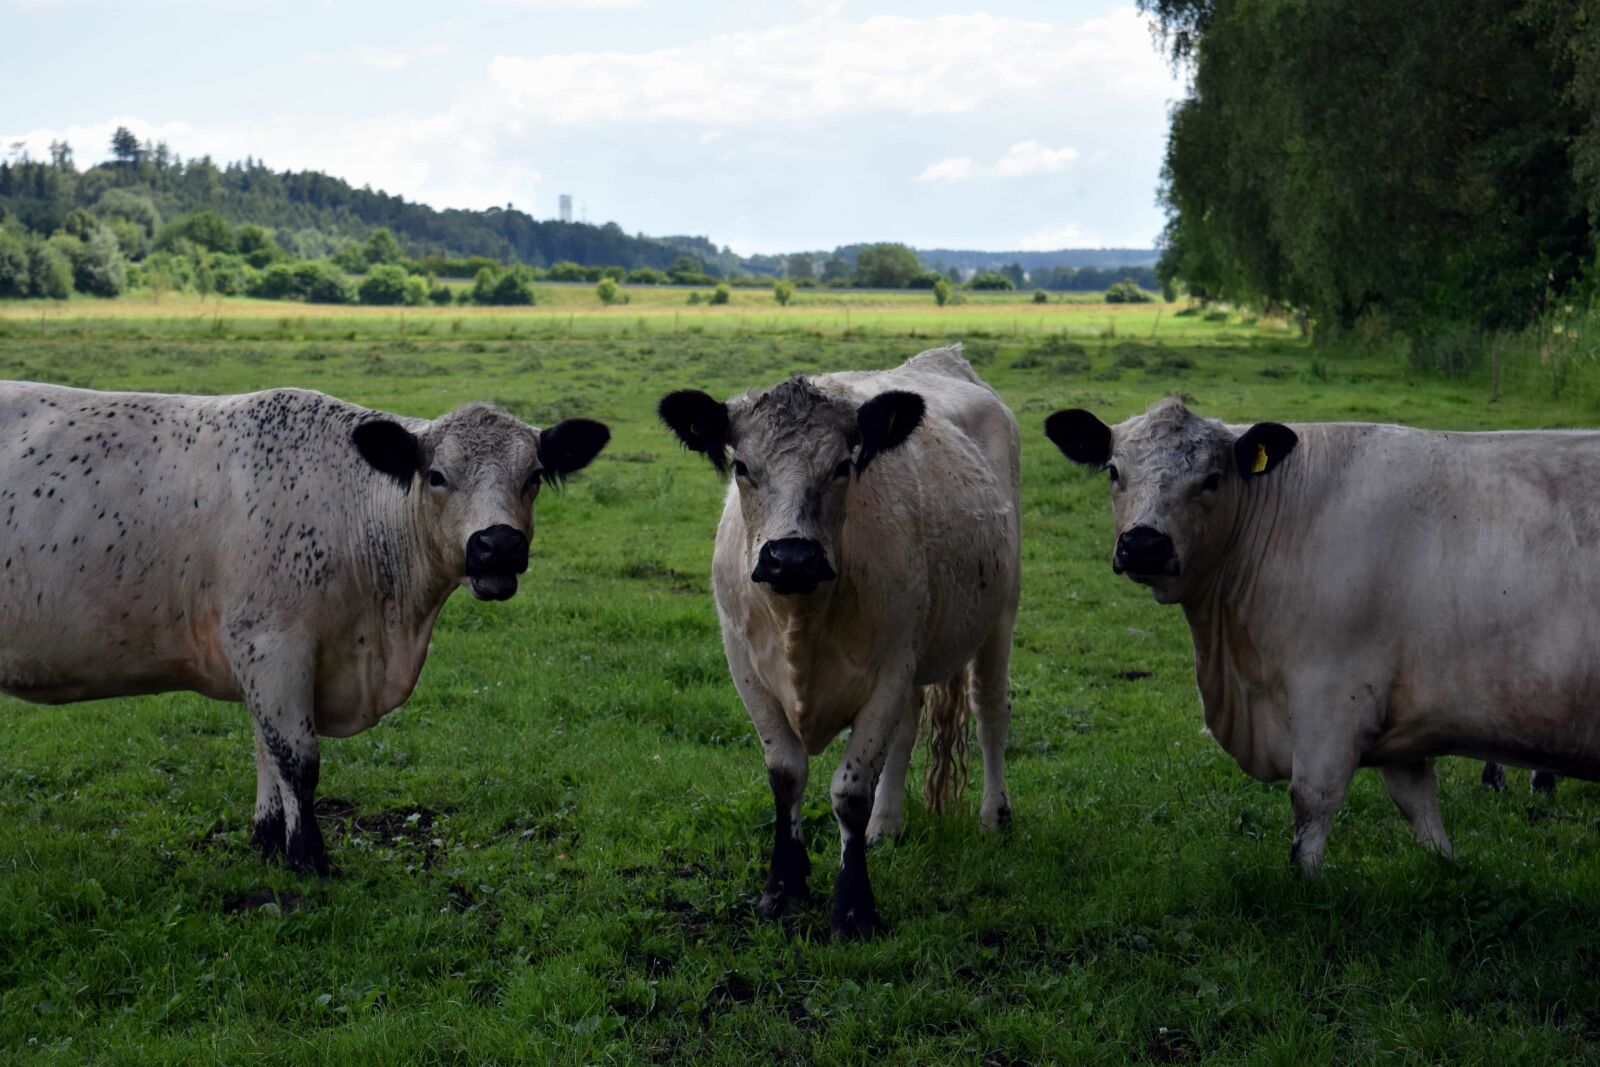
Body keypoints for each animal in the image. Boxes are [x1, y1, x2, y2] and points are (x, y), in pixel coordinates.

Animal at [0, 382, 609, 876]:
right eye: (437, 476)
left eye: (533, 477)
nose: (498, 545)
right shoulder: (273, 646)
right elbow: (297, 759)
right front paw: (309, 859)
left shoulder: (266, 661)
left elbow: (265, 751)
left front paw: (269, 842)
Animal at [658, 344, 1021, 938]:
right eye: (742, 467)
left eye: (843, 466)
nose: (791, 557)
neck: (801, 618)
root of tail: (945, 357)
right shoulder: (746, 668)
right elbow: (787, 775)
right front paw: (783, 889)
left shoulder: (889, 670)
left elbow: (850, 791)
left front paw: (853, 908)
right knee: (908, 732)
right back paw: (887, 824)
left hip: (999, 618)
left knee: (990, 714)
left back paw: (995, 817)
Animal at [1045, 395, 1600, 875]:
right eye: (1114, 472)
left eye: (1212, 479)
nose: (1143, 544)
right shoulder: (1400, 713)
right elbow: (1420, 804)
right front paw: (1447, 871)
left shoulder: (1332, 696)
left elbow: (1313, 803)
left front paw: (1306, 890)